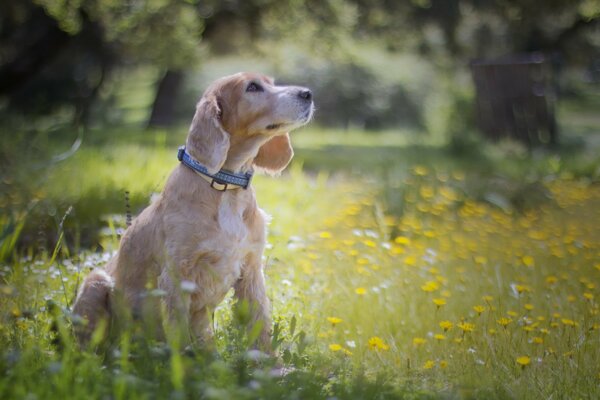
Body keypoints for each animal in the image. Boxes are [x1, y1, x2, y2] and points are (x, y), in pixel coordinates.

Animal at [72, 72, 314, 350]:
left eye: (272, 83)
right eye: (252, 87)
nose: (308, 93)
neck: (224, 186)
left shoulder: (251, 271)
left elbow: (260, 325)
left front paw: (269, 362)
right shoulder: (177, 275)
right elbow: (178, 334)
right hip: (95, 284)